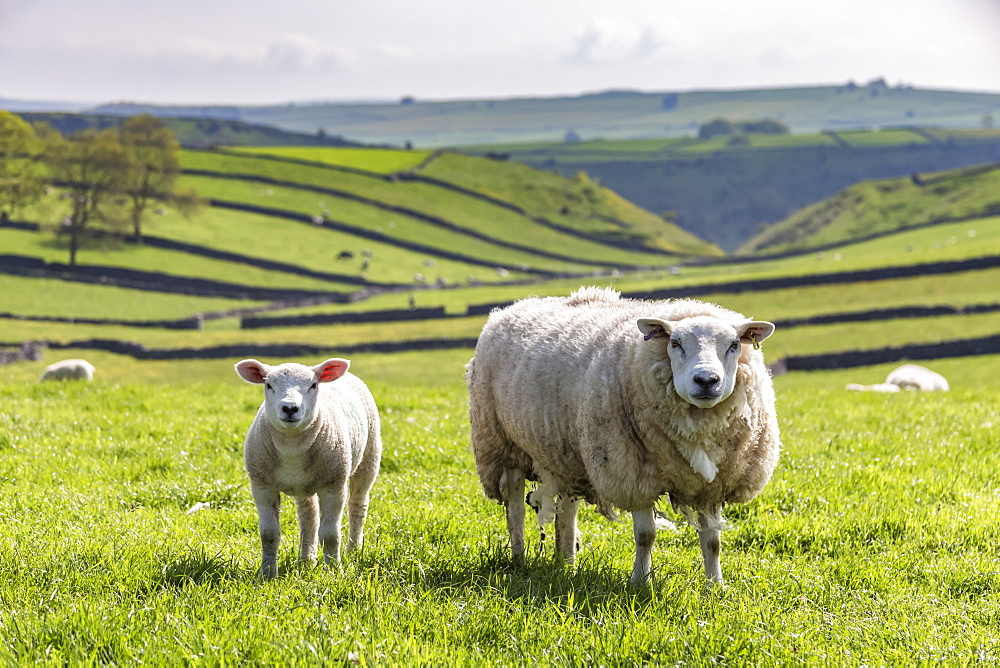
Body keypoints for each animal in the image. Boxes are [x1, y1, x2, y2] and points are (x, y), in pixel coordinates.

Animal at [234, 354, 382, 580]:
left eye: (313, 385)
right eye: (268, 385)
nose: (290, 408)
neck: (292, 445)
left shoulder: (334, 485)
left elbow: (330, 534)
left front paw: (334, 572)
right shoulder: (261, 485)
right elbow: (269, 534)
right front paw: (267, 574)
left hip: (369, 457)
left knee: (358, 506)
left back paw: (354, 550)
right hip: (303, 486)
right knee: (308, 516)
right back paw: (306, 560)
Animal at [466, 288, 780, 584]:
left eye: (734, 345)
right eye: (675, 343)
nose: (706, 380)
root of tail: (511, 307)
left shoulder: (711, 485)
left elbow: (713, 541)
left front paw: (715, 585)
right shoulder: (632, 475)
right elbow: (645, 536)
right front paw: (639, 582)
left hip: (568, 456)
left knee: (566, 512)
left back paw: (566, 563)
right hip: (501, 445)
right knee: (516, 510)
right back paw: (519, 558)